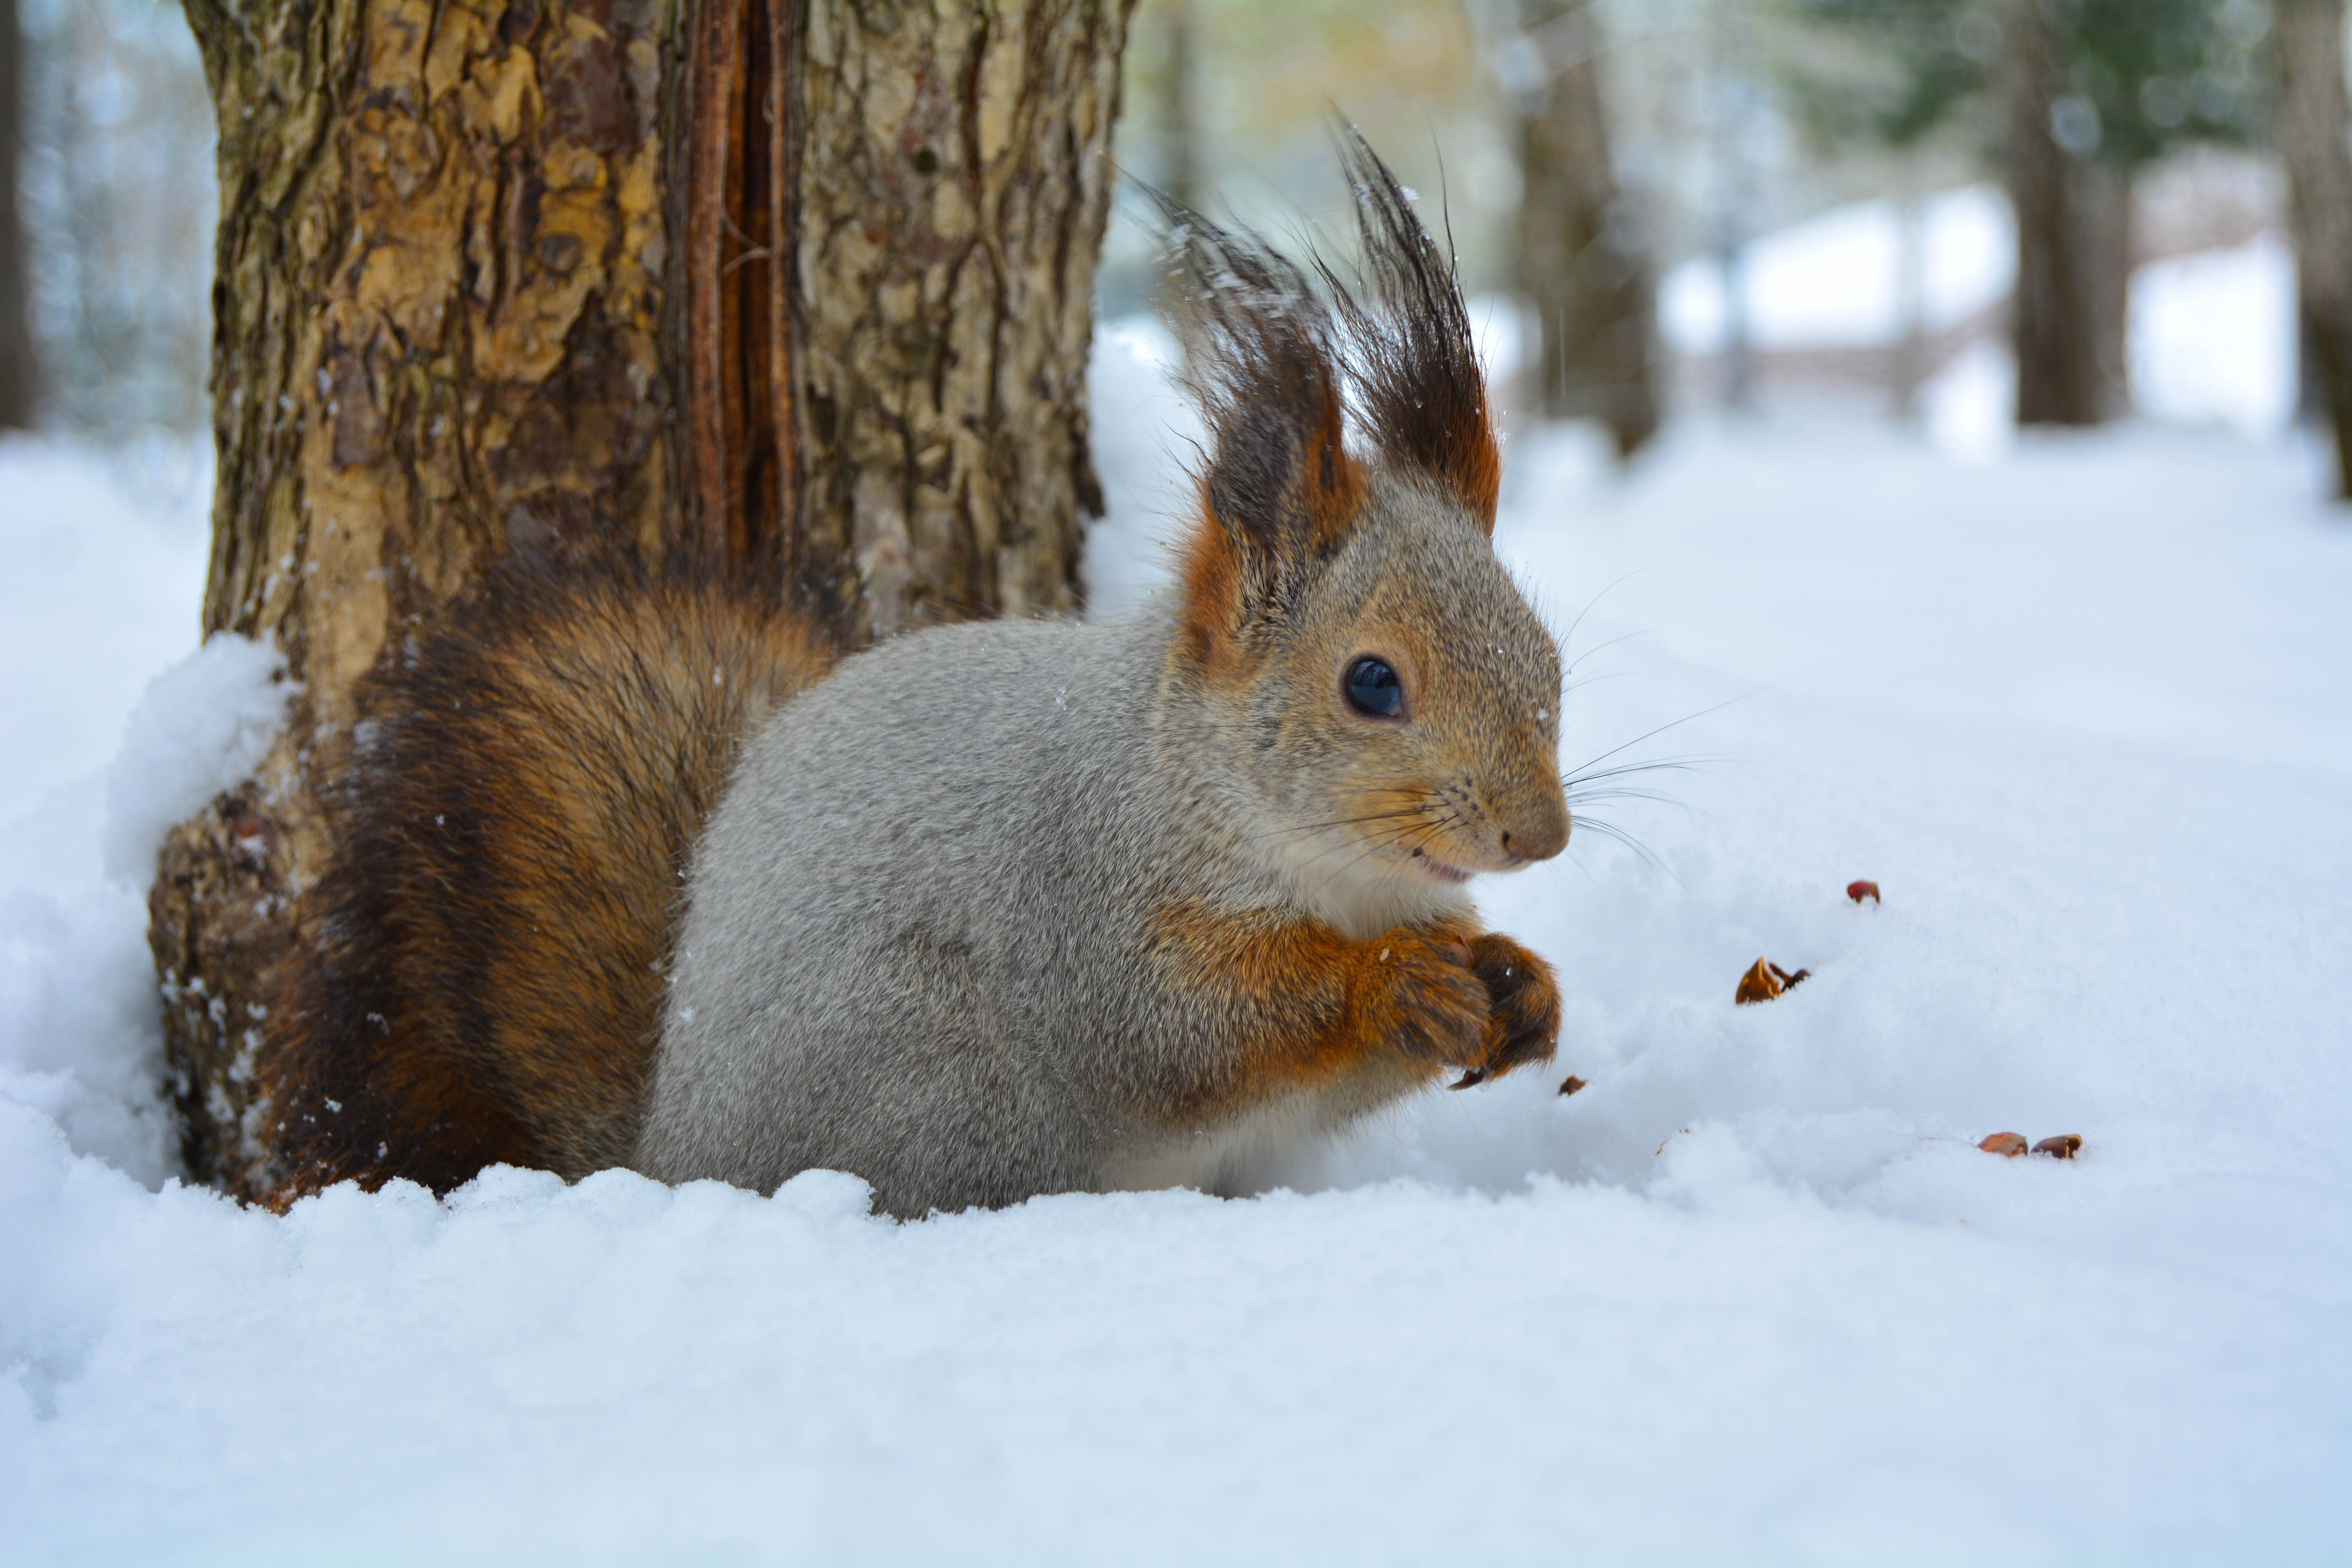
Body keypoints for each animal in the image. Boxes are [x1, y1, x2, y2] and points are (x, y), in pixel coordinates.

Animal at [262, 131, 1562, 1213]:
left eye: (1548, 657)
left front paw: (1517, 982)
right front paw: (1392, 986)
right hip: (935, 1072)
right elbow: (1186, 1029)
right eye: (1371, 684)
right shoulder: (1092, 911)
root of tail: (672, 1154)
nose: (1538, 837)